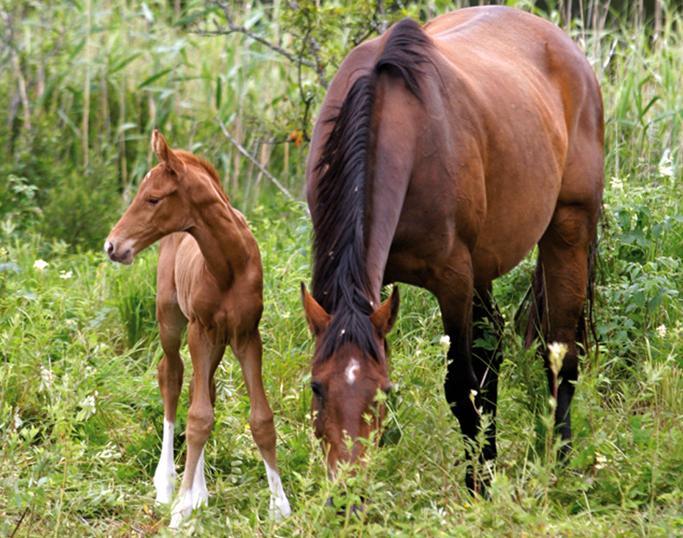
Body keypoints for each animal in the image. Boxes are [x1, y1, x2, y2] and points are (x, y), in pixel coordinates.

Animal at [105, 130, 292, 524]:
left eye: (153, 198)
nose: (112, 246)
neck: (230, 266)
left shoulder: (247, 335)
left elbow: (260, 418)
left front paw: (280, 505)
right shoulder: (200, 330)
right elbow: (197, 417)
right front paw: (181, 507)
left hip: (216, 340)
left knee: (201, 388)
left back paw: (199, 491)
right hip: (172, 320)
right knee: (172, 377)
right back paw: (168, 484)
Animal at [304, 5, 604, 490]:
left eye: (383, 392)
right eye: (317, 386)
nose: (347, 494)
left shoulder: (453, 280)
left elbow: (461, 387)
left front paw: (477, 488)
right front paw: (484, 472)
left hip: (568, 231)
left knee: (559, 355)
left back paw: (557, 465)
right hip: (484, 264)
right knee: (494, 351)